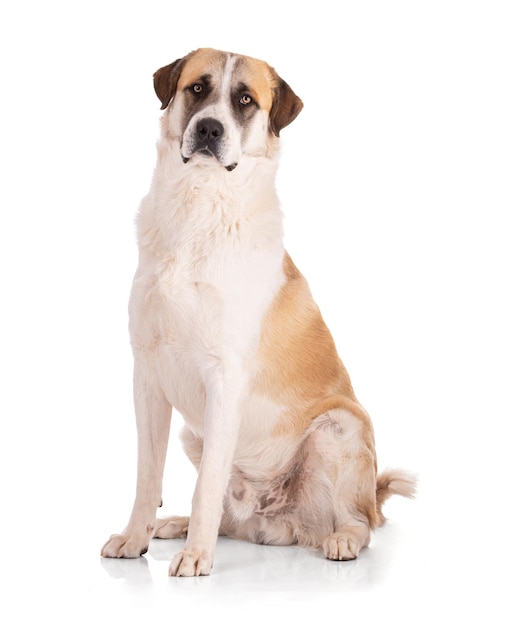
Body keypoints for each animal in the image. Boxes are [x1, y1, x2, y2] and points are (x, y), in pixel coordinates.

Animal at [101, 47, 416, 576]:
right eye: (197, 88)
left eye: (245, 100)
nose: (209, 129)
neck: (198, 207)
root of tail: (278, 522)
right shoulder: (147, 376)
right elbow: (148, 476)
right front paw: (136, 537)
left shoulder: (224, 378)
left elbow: (206, 485)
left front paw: (197, 558)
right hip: (193, 433)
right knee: (231, 518)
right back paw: (177, 525)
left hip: (339, 427)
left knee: (361, 521)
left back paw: (341, 540)